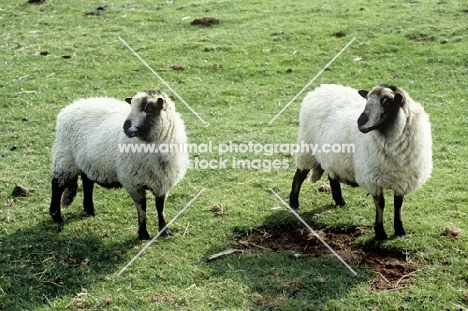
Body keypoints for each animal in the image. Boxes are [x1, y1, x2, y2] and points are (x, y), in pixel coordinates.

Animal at [47, 89, 186, 240]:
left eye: (149, 108)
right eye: (131, 106)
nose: (125, 126)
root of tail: (71, 106)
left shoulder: (163, 182)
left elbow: (160, 207)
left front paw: (164, 231)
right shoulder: (133, 183)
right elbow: (142, 208)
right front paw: (143, 233)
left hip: (87, 161)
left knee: (87, 183)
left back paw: (90, 210)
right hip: (65, 159)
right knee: (57, 185)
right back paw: (56, 216)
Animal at [288, 84, 432, 240]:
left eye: (387, 102)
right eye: (367, 99)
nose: (360, 121)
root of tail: (319, 89)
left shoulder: (402, 180)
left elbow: (398, 204)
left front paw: (400, 231)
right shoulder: (373, 179)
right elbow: (380, 203)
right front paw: (380, 233)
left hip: (332, 156)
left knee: (332, 176)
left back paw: (339, 200)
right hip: (307, 148)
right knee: (299, 175)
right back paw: (294, 203)